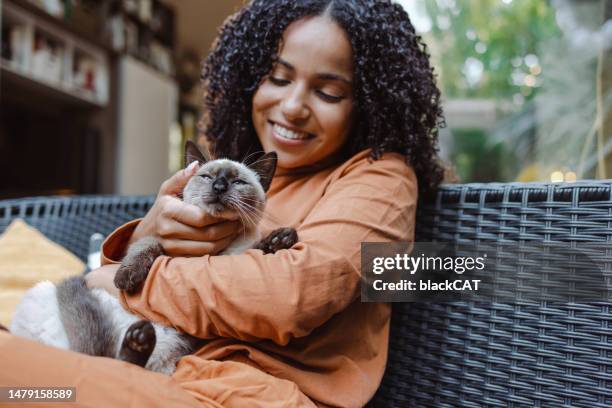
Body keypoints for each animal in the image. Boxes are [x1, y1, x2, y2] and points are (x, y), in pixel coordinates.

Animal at [8, 142, 298, 374]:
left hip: (171, 348)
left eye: (238, 182)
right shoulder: (162, 242)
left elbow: (258, 247)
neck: (210, 250)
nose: (219, 186)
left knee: (118, 362)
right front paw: (125, 279)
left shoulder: (236, 255)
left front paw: (282, 239)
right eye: (206, 177)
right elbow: (147, 246)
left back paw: (138, 339)